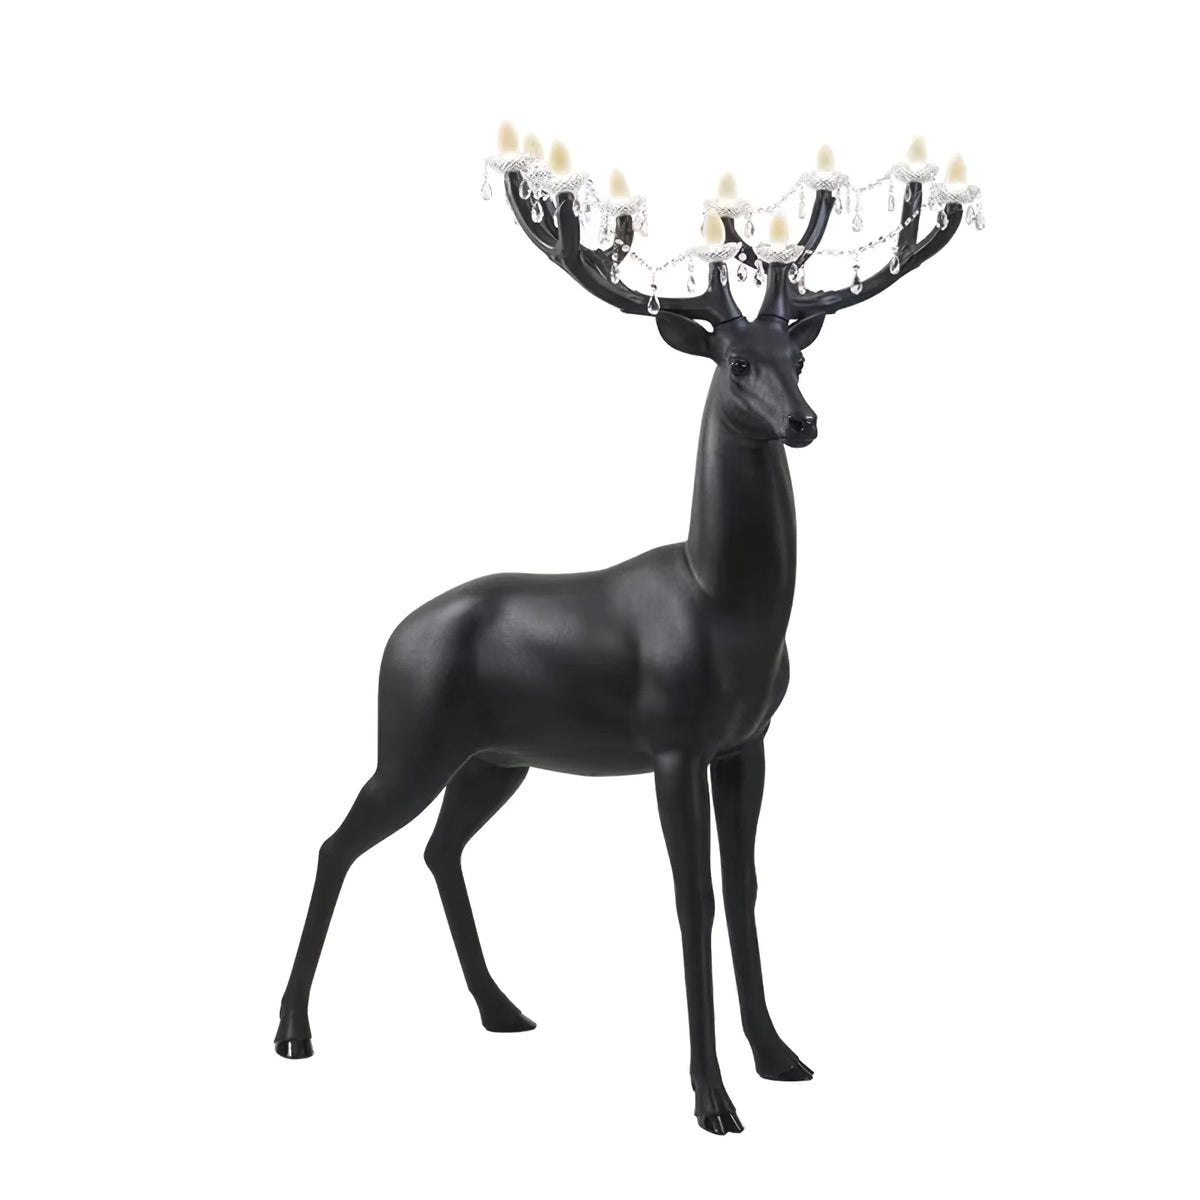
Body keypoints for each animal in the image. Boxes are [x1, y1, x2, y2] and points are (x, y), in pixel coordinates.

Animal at [274, 142, 965, 1135]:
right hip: (410, 739)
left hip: (497, 758)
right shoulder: (672, 742)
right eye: (736, 363)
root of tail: (393, 637)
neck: (725, 604)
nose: (804, 421)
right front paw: (712, 1098)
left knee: (439, 849)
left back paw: (502, 1008)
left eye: (798, 354)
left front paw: (779, 1057)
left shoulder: (748, 743)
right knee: (337, 843)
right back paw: (293, 1031)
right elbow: (692, 898)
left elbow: (746, 888)